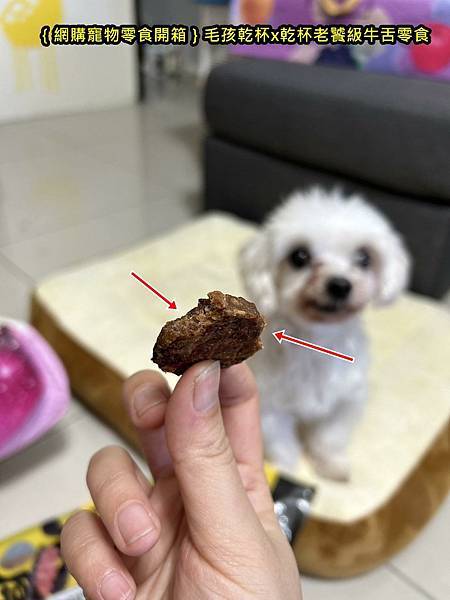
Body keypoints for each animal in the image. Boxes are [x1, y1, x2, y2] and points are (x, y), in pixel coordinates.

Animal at [241, 189, 410, 482]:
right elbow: (282, 443)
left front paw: (332, 464)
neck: (318, 342)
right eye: (299, 256)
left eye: (364, 257)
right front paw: (285, 469)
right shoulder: (271, 406)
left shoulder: (345, 401)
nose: (339, 285)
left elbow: (329, 438)